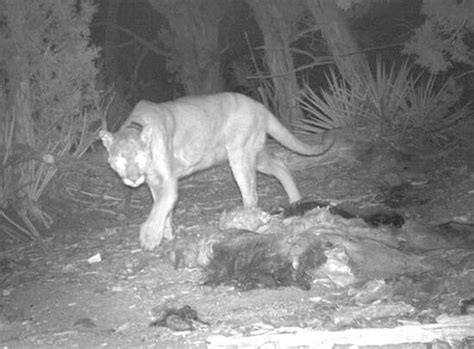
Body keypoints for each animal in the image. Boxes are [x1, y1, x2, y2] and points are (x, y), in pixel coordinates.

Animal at [100, 92, 334, 249]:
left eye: (139, 157)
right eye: (120, 160)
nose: (132, 180)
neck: (133, 126)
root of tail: (260, 106)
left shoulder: (167, 181)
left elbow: (158, 208)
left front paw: (149, 238)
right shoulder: (154, 182)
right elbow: (163, 209)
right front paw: (165, 233)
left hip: (240, 155)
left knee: (251, 193)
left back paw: (246, 221)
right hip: (255, 155)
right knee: (280, 165)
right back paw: (295, 199)